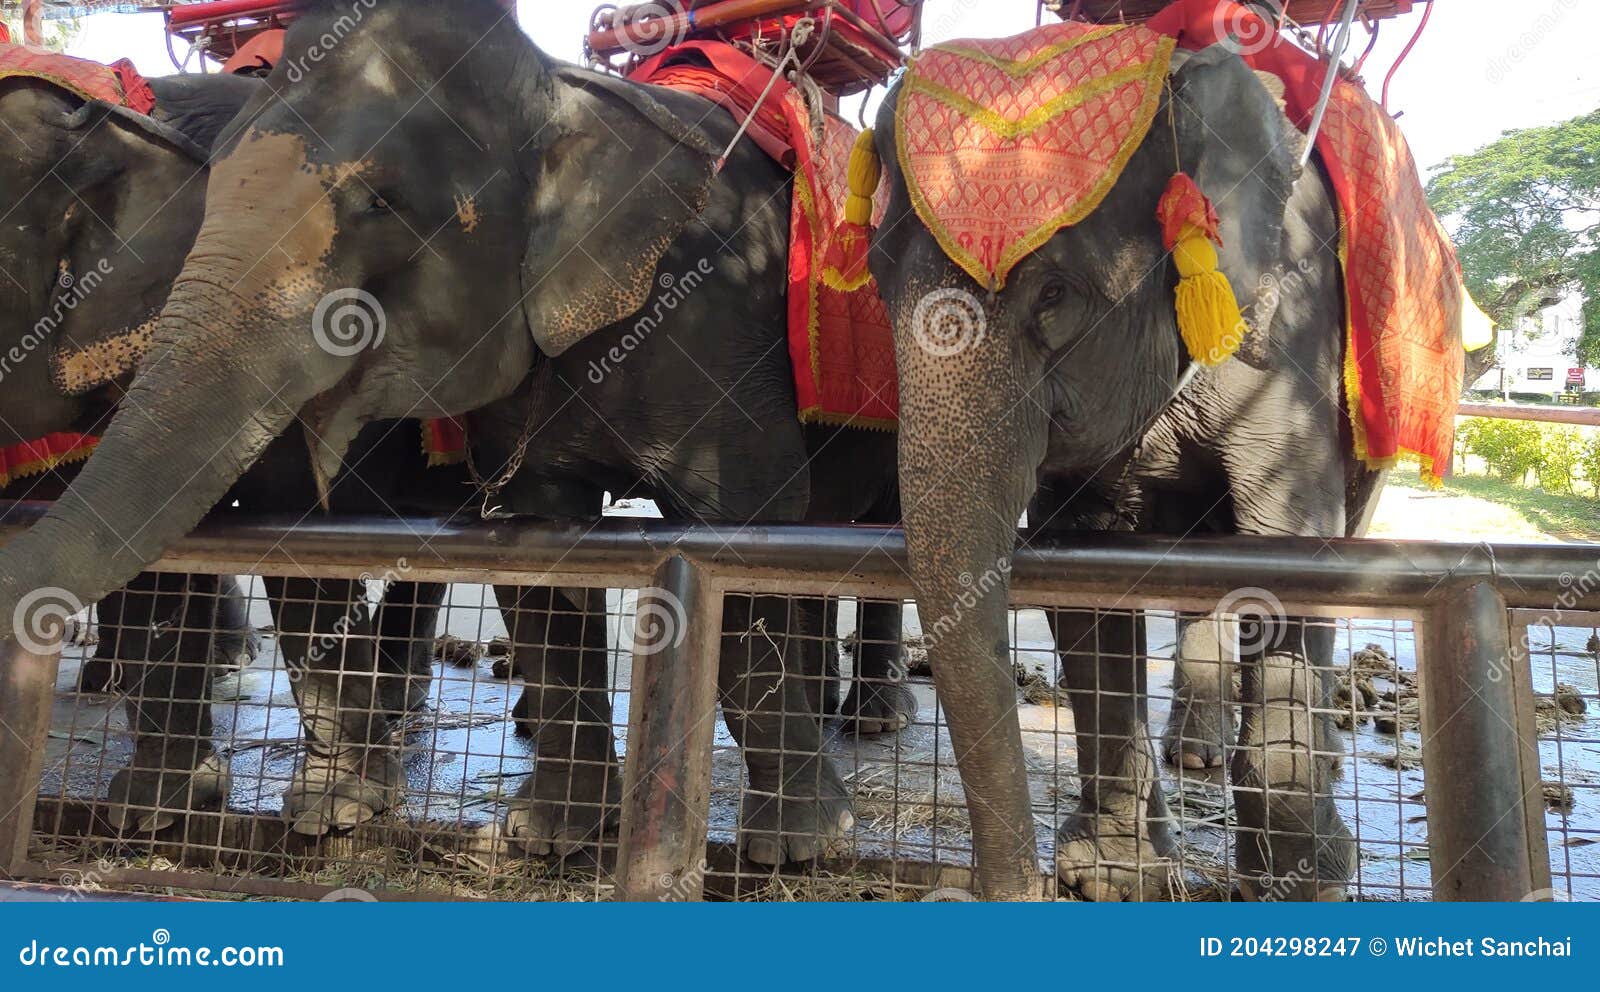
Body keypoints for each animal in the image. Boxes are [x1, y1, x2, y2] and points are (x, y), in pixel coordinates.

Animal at [0, 0, 909, 864]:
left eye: (378, 202)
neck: (561, 92)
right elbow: (537, 548)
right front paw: (545, 835)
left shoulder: (713, 317)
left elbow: (739, 536)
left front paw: (799, 848)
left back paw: (871, 721)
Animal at [868, 43, 1402, 900]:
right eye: (880, 284)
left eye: (1055, 291)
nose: (1011, 889)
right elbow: (1087, 573)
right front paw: (1114, 874)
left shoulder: (1295, 327)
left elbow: (1288, 549)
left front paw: (1303, 885)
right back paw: (1195, 755)